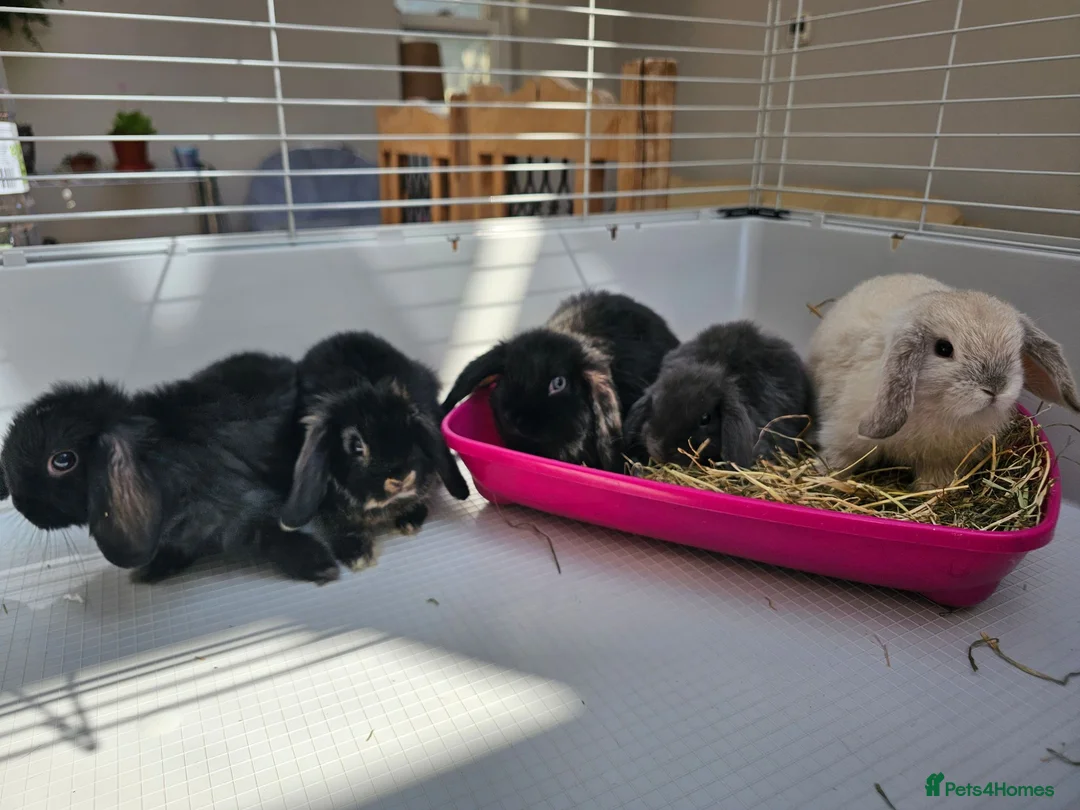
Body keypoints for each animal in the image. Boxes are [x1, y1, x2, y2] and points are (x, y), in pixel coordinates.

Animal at [0, 352, 342, 585]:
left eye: (62, 460)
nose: (20, 503)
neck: (155, 461)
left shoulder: (245, 508)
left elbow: (275, 537)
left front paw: (320, 566)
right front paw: (152, 572)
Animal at [279, 331, 470, 571]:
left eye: (411, 431)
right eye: (356, 445)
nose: (401, 478)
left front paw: (409, 522)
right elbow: (339, 526)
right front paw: (357, 556)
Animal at [808, 273, 1080, 489]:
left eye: (1016, 352)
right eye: (943, 348)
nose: (994, 388)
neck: (938, 409)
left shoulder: (942, 460)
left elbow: (935, 481)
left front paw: (931, 493)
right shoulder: (843, 434)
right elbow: (841, 456)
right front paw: (824, 474)